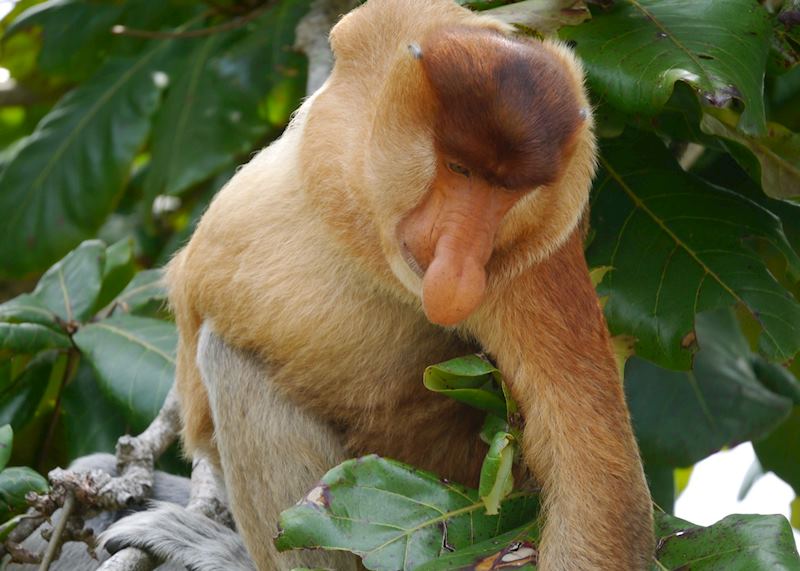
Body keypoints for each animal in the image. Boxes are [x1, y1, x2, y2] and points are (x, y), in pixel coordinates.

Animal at [103, 0, 655, 569]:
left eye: (508, 192)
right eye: (459, 169)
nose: (458, 260)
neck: (369, 213)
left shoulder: (537, 257)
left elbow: (596, 483)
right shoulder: (391, 25)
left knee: (228, 359)